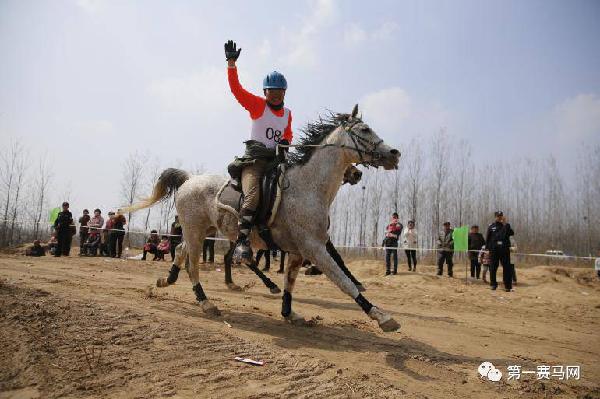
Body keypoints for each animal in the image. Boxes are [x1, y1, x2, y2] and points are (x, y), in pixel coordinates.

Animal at [124, 104, 400, 332]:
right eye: (365, 130)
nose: (395, 153)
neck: (309, 187)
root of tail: (189, 180)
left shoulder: (298, 250)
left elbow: (290, 281)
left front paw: (289, 313)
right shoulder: (315, 248)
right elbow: (343, 281)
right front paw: (382, 316)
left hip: (204, 230)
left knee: (182, 251)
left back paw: (166, 280)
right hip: (196, 231)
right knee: (193, 264)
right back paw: (206, 303)